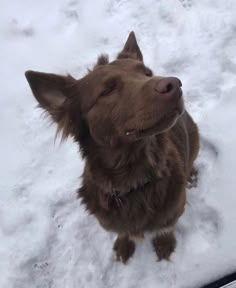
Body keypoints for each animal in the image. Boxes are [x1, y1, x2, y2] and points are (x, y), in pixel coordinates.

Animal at [25, 31, 199, 264]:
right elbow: (123, 231)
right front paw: (124, 244)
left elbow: (166, 226)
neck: (133, 181)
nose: (174, 85)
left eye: (147, 73)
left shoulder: (174, 209)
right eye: (107, 90)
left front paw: (164, 243)